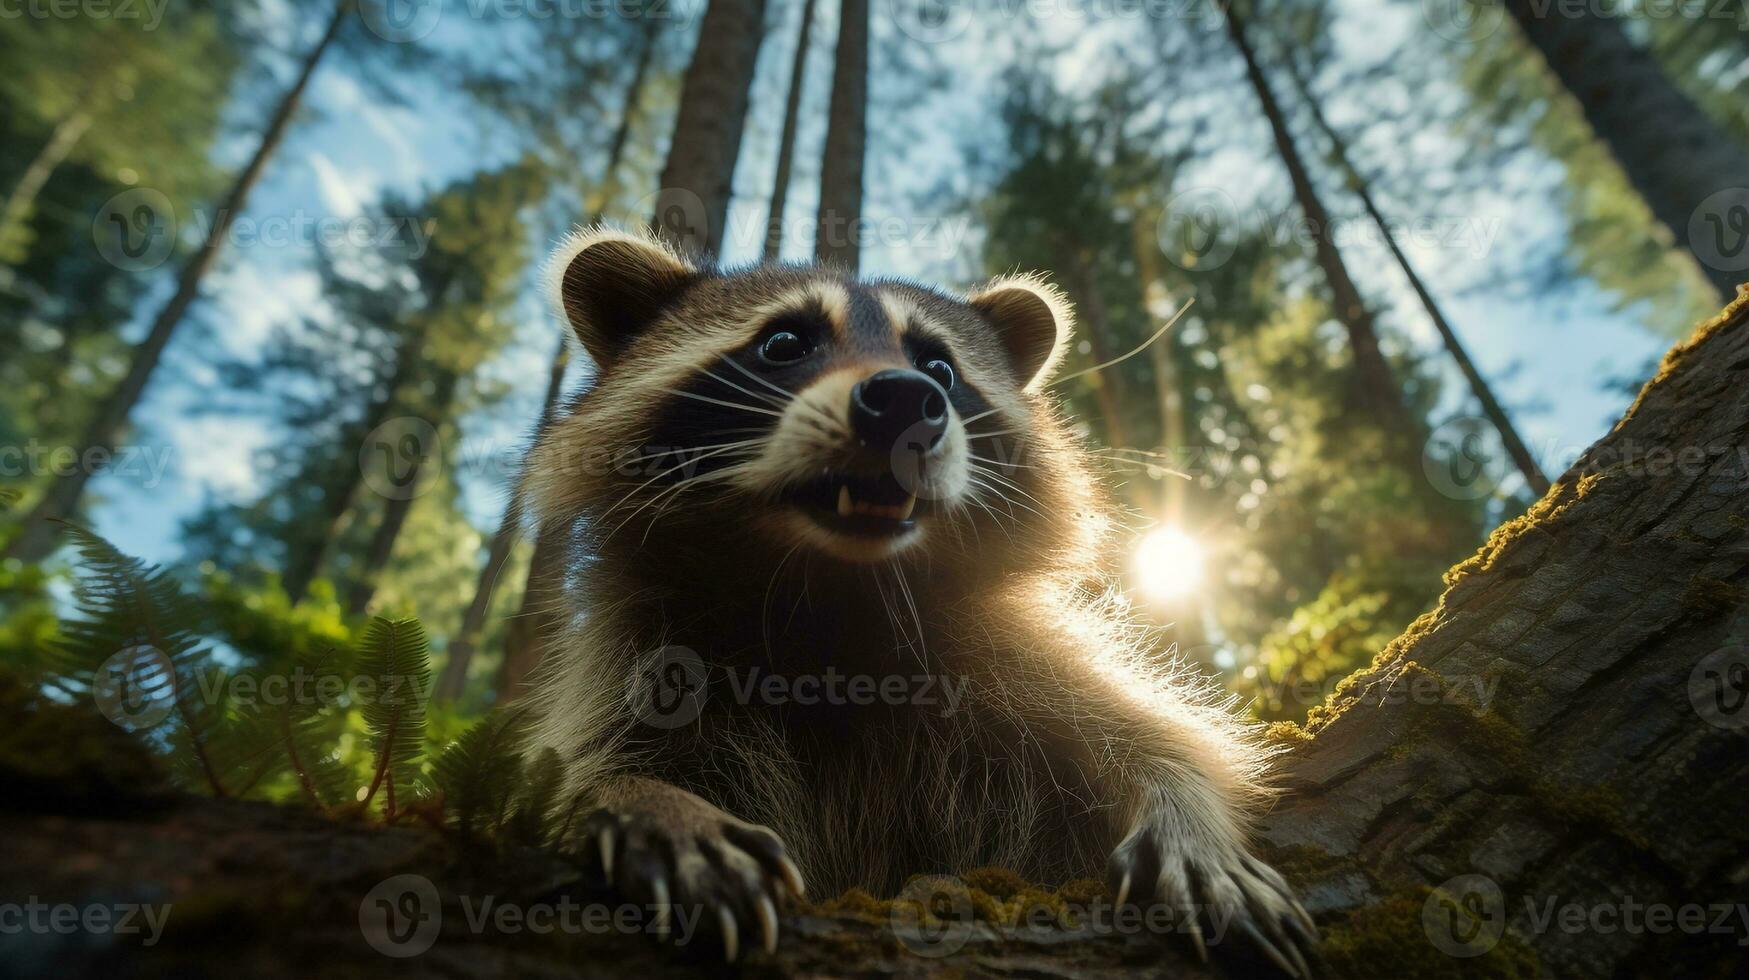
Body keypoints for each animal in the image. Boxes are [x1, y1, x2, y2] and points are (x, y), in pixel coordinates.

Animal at [517, 227, 1315, 973]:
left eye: (940, 367)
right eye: (783, 343)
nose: (904, 399)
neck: (833, 590)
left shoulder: (1020, 664)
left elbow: (1167, 741)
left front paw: (1187, 820)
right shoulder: (642, 656)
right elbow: (583, 769)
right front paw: (645, 800)